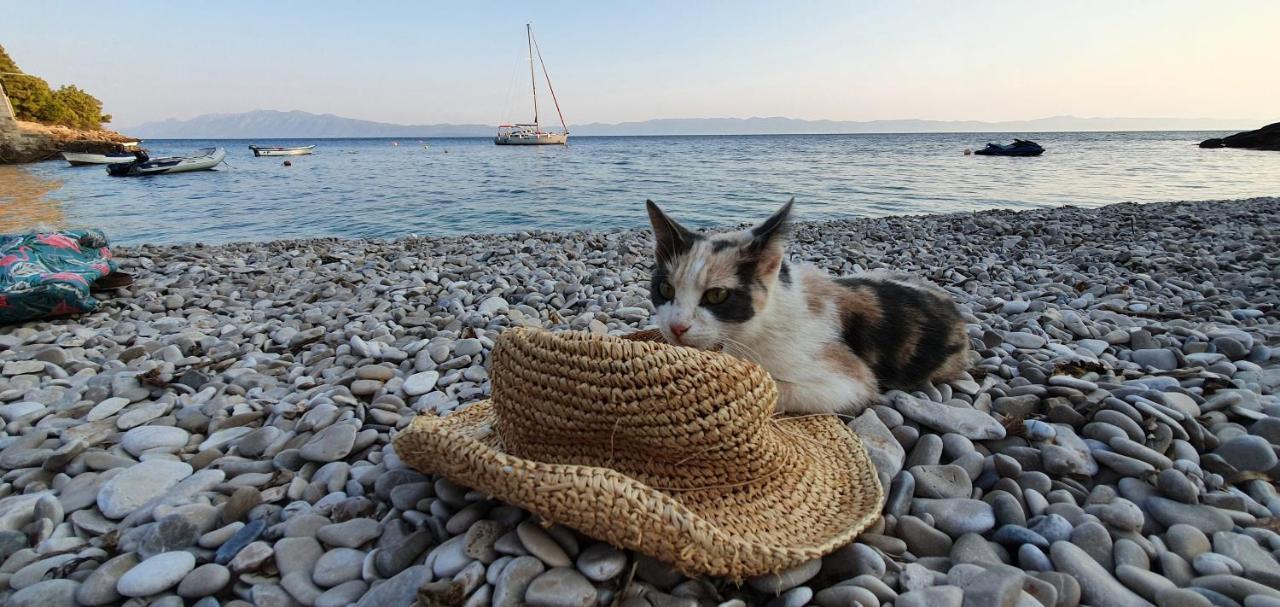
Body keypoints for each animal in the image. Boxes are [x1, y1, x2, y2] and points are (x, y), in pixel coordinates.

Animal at [645, 197, 962, 414]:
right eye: (665, 289)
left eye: (716, 295)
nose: (676, 326)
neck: (756, 328)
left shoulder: (850, 382)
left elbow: (774, 387)